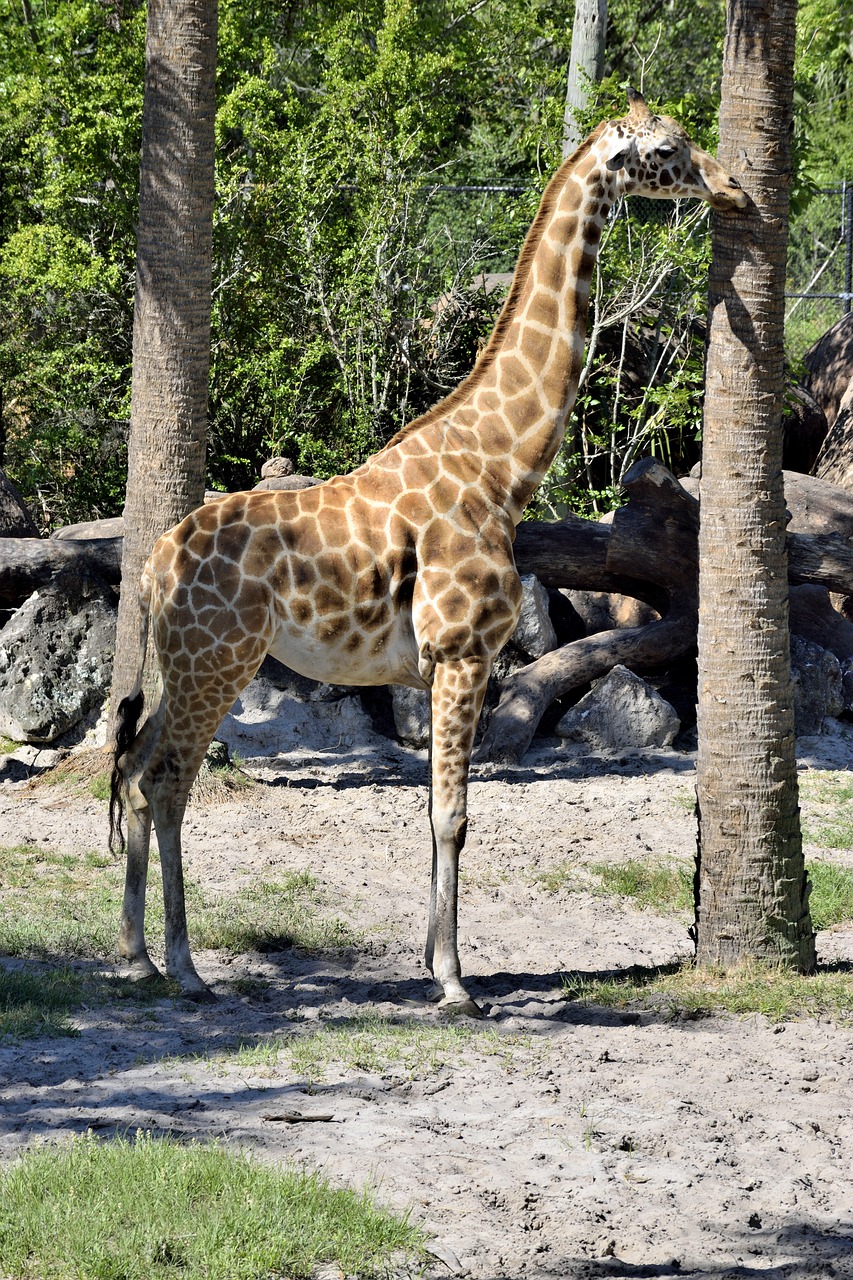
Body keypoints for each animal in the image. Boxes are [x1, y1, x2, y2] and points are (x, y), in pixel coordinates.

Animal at [108, 90, 742, 1013]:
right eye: (666, 150)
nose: (733, 188)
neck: (501, 467)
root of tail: (157, 564)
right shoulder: (461, 654)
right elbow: (454, 815)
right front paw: (453, 982)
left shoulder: (447, 663)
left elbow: (436, 813)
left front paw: (434, 965)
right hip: (218, 661)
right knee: (165, 779)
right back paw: (186, 967)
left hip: (180, 662)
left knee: (132, 767)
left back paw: (136, 957)